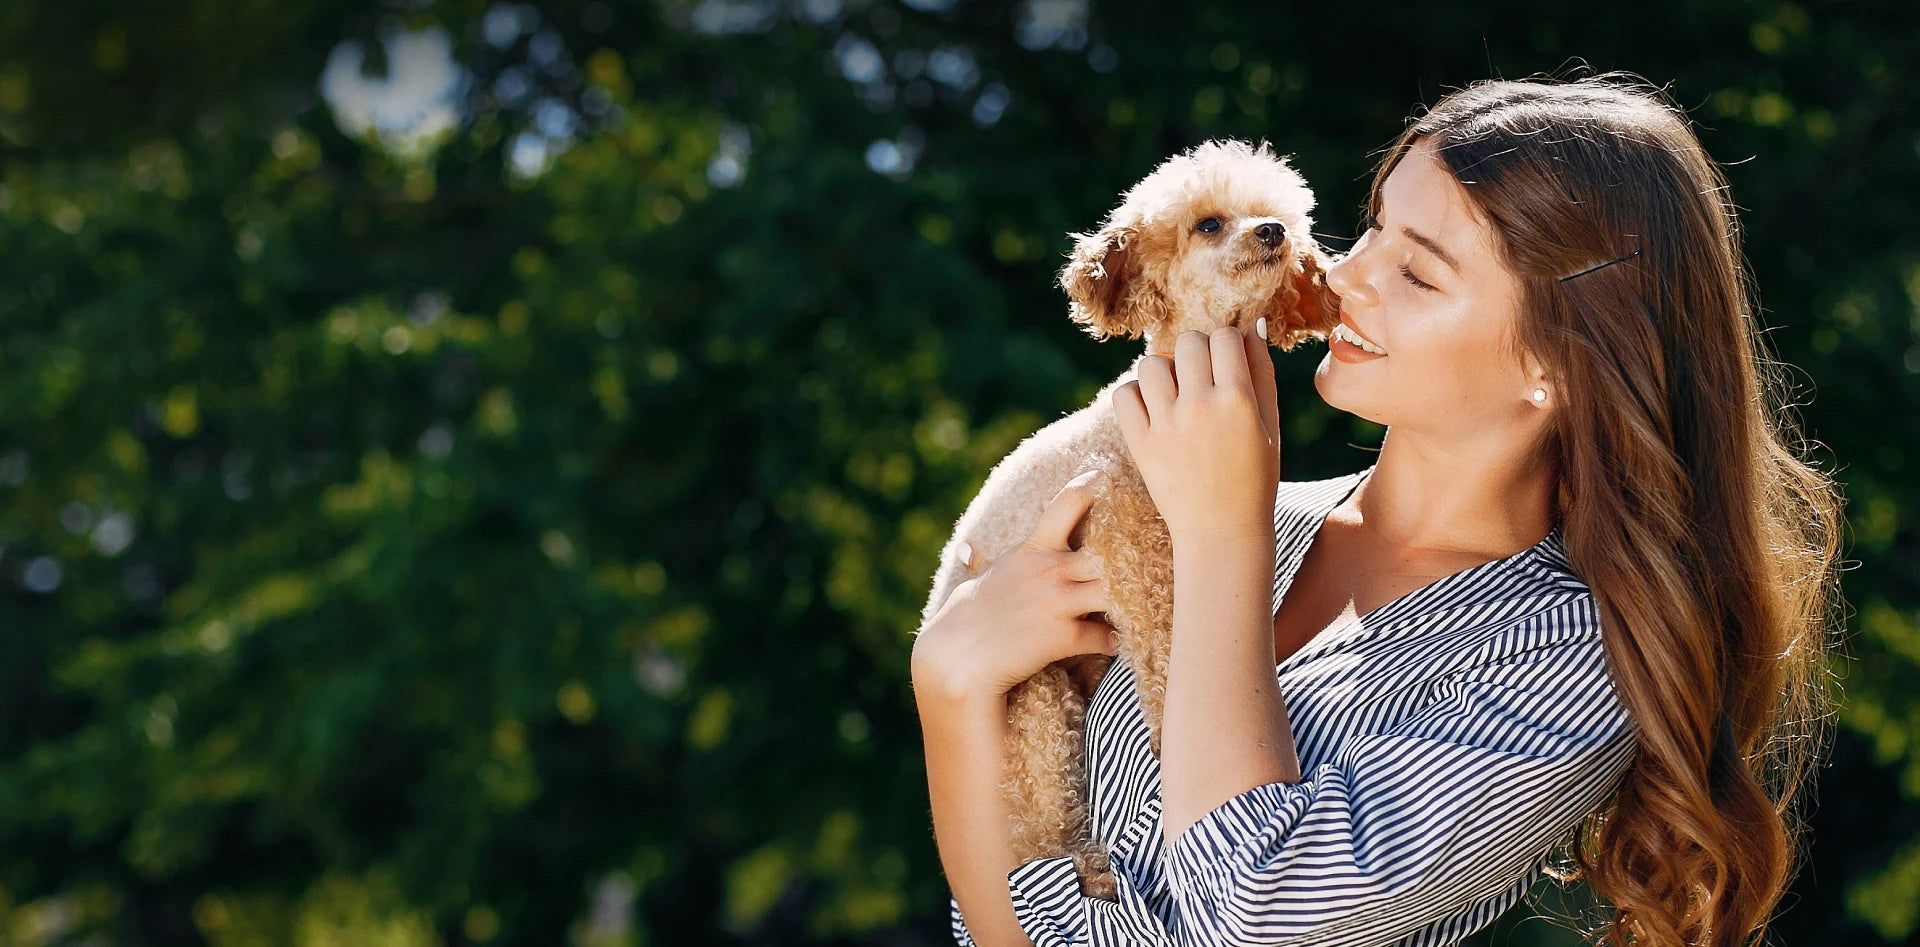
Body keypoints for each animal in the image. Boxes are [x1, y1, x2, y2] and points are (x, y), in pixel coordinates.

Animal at [921, 136, 1344, 898]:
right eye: (1208, 224)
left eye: (1282, 216)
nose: (1273, 233)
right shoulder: (1141, 576)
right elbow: (1172, 678)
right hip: (1037, 705)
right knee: (1035, 835)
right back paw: (1089, 868)